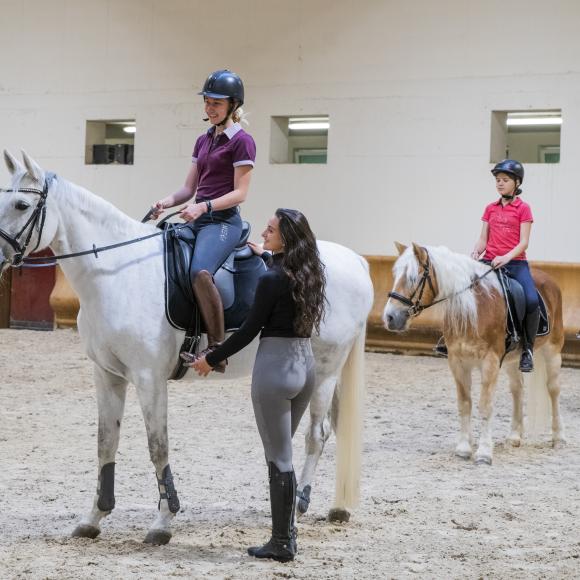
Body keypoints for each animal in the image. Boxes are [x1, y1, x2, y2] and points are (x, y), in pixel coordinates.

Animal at [0, 150, 374, 544]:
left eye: (22, 204)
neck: (118, 274)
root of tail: (355, 260)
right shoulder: (106, 374)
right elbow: (105, 442)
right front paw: (93, 518)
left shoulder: (149, 378)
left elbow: (157, 445)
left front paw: (163, 522)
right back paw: (326, 507)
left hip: (326, 370)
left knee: (316, 434)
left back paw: (300, 506)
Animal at [382, 242, 564, 464]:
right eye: (395, 275)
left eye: (413, 278)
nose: (390, 317)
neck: (474, 309)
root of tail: (549, 280)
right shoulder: (457, 361)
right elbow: (464, 403)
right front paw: (464, 447)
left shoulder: (490, 361)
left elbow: (485, 405)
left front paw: (484, 452)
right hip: (513, 360)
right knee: (517, 389)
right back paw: (514, 436)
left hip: (553, 350)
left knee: (553, 389)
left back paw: (559, 438)